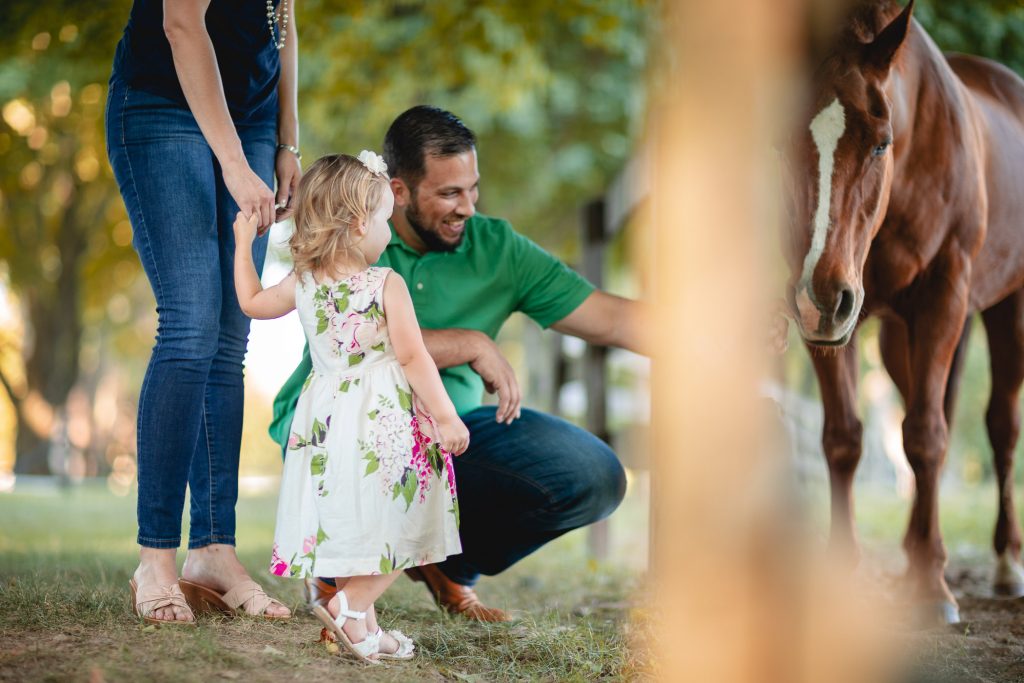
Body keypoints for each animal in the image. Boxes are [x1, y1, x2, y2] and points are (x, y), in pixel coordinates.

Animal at [778, 0, 1024, 626]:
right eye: (782, 142)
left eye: (881, 142)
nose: (823, 297)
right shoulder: (830, 325)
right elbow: (844, 438)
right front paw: (847, 573)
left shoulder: (943, 298)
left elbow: (926, 435)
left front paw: (933, 585)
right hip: (893, 338)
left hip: (1006, 311)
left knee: (999, 427)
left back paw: (1005, 563)